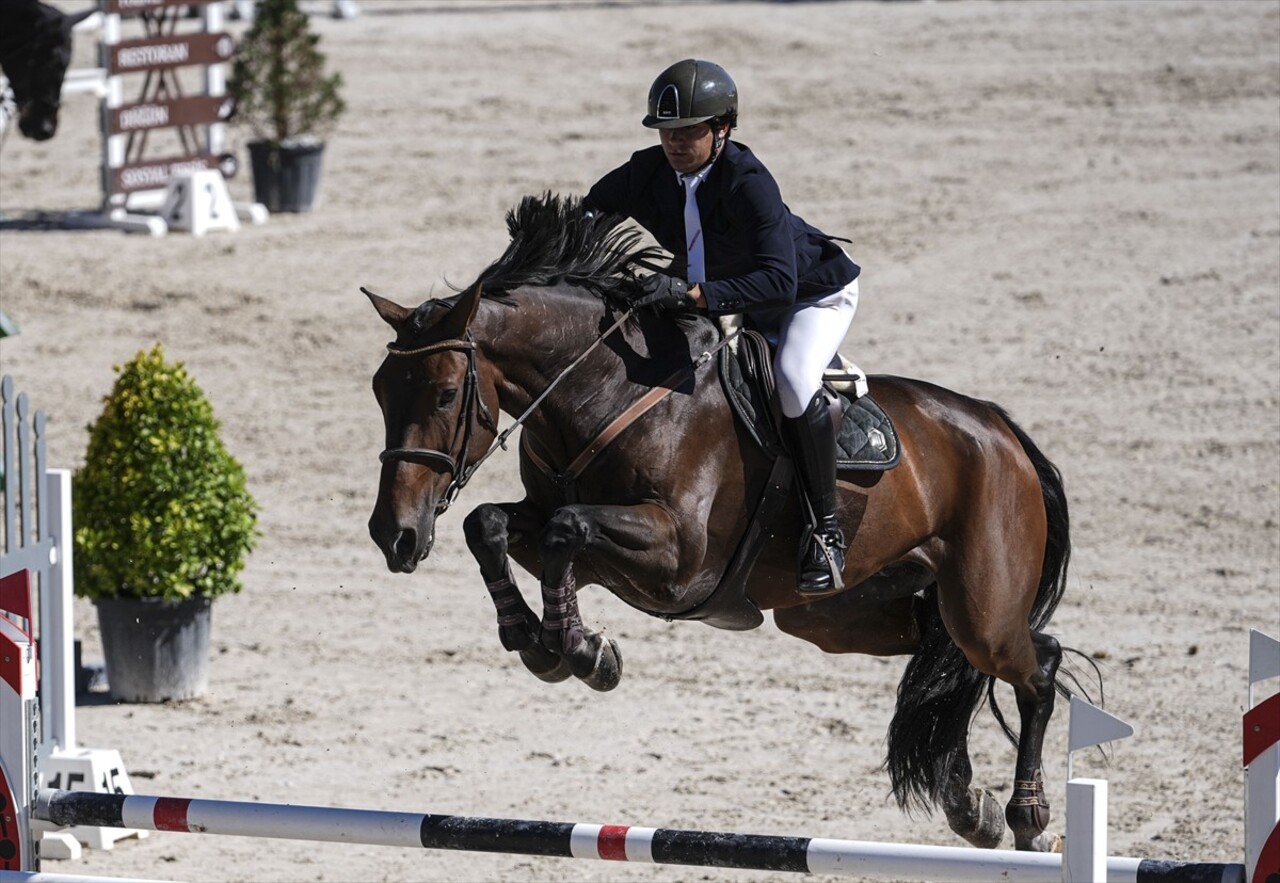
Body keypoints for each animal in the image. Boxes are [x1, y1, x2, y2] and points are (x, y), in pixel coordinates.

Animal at [363, 194, 1090, 854]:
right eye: (379, 391)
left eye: (445, 394)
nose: (392, 534)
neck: (606, 389)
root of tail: (999, 430)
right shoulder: (580, 541)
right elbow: (492, 524)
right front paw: (543, 641)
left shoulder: (677, 560)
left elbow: (565, 529)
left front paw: (582, 651)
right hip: (844, 617)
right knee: (973, 658)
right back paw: (972, 805)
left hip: (978, 607)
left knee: (1032, 670)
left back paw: (1028, 815)